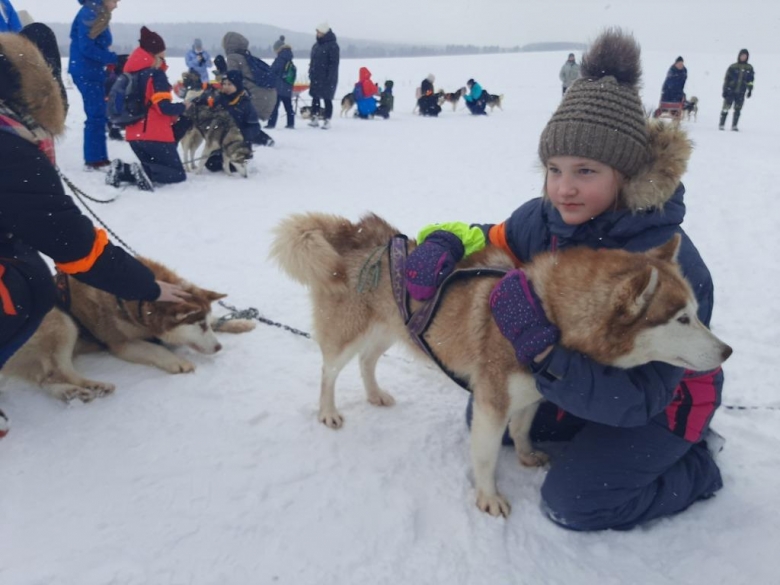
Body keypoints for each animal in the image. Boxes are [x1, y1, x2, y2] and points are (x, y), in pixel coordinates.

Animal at [0, 258, 256, 404]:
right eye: (198, 326)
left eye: (205, 324)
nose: (219, 346)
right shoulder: (121, 344)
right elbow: (155, 349)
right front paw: (178, 361)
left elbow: (219, 319)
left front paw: (238, 323)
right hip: (61, 321)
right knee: (61, 371)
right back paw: (93, 386)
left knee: (48, 379)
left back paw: (72, 393)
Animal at [272, 212, 736, 516]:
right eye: (681, 318)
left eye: (697, 311)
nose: (727, 352)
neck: (546, 317)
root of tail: (357, 232)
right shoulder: (492, 404)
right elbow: (487, 456)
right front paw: (488, 497)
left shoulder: (533, 393)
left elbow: (524, 429)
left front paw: (527, 455)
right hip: (350, 335)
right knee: (329, 371)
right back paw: (329, 412)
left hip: (392, 328)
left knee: (368, 362)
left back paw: (374, 394)